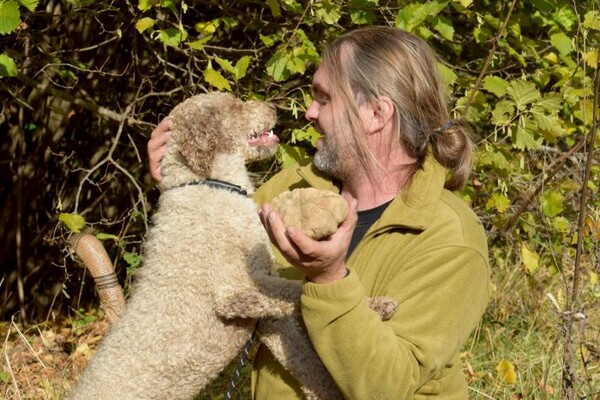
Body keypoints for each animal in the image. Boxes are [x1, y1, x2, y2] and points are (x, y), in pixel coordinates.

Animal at [69, 91, 394, 400]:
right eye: (235, 106)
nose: (273, 107)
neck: (212, 186)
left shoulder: (266, 316)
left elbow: (305, 360)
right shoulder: (237, 292)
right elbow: (296, 292)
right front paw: (374, 303)